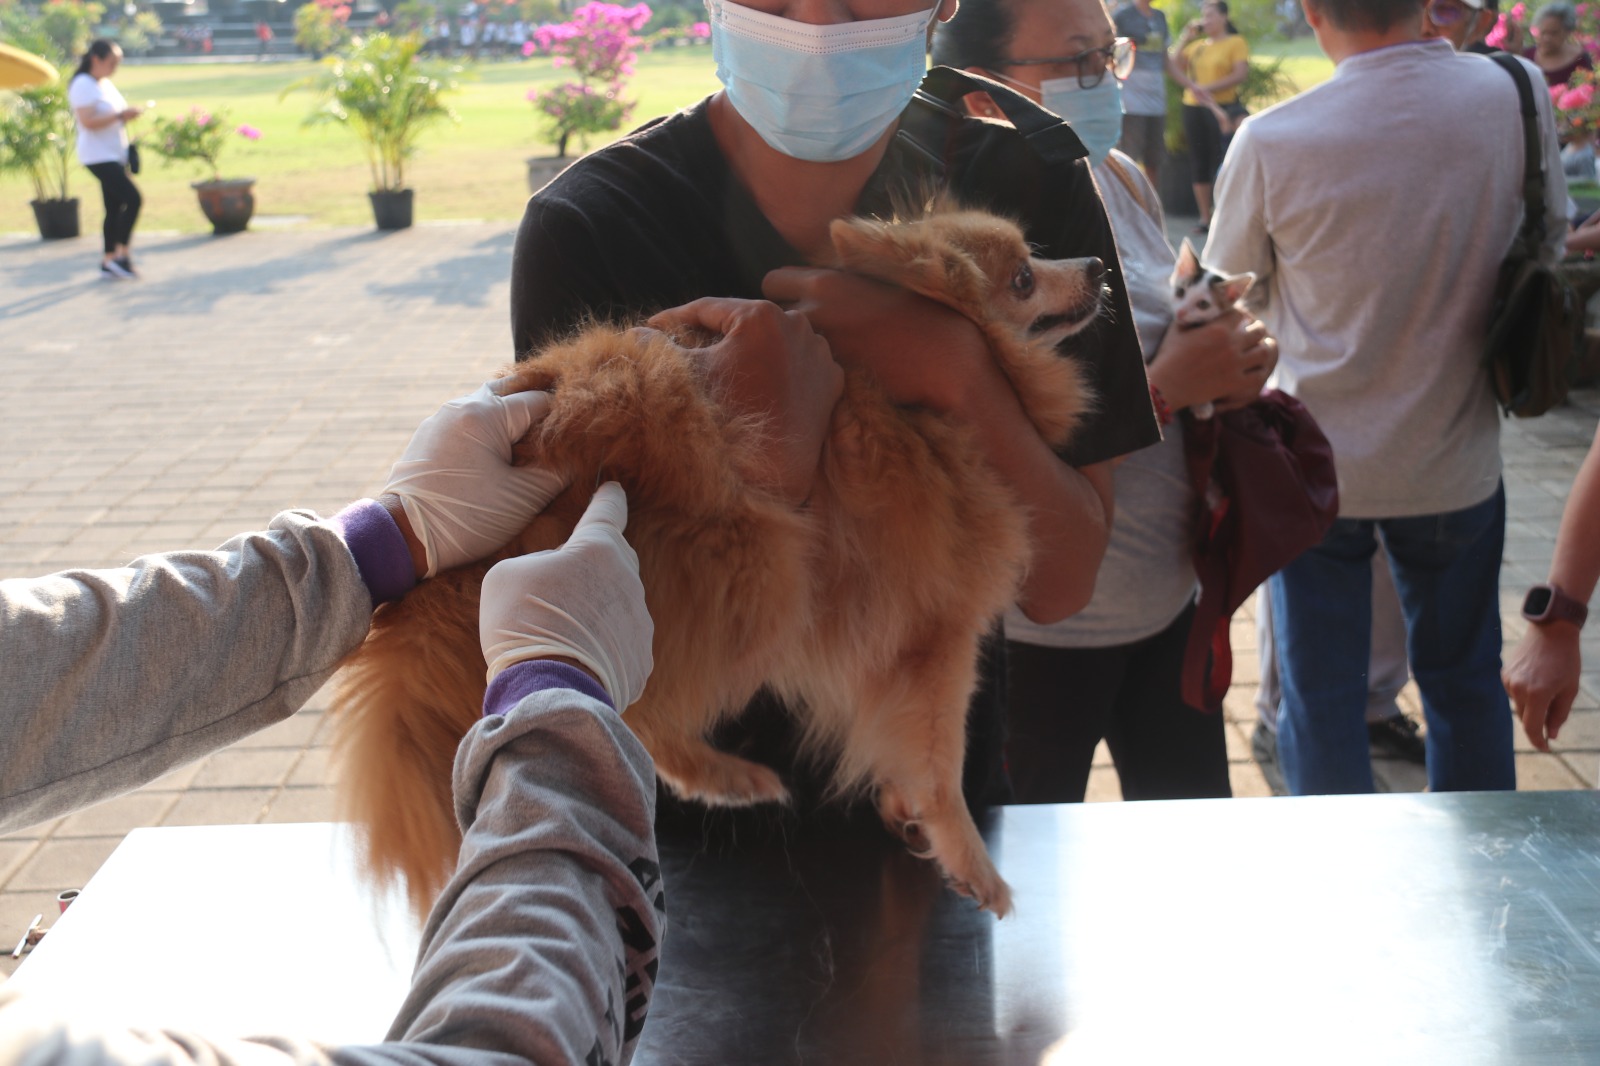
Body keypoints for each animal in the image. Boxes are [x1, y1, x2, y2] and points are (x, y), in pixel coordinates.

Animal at [331, 203, 1107, 915]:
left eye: (1035, 257)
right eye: (1023, 278)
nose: (1099, 265)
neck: (926, 408)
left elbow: (897, 741)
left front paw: (903, 807)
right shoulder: (939, 633)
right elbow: (940, 764)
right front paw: (971, 861)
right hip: (761, 566)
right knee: (629, 705)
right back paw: (720, 772)